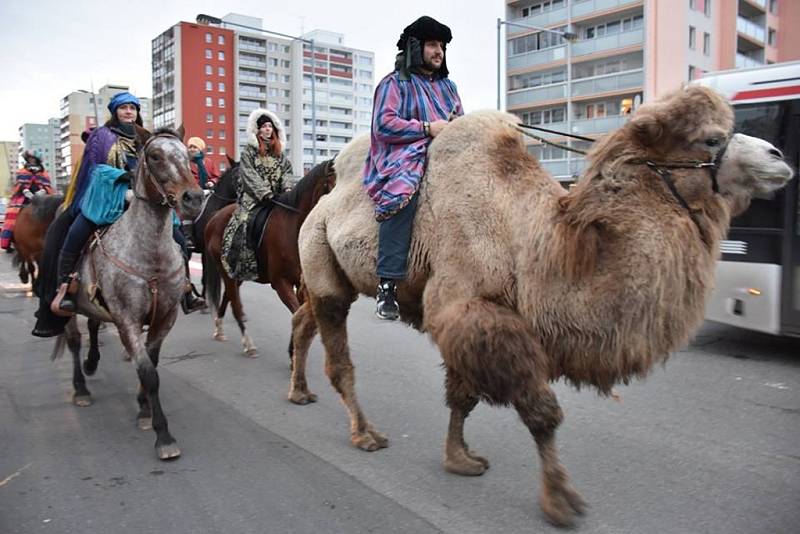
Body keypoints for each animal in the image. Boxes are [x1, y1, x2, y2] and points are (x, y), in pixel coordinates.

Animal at [205, 161, 336, 358]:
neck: (294, 228)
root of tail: (214, 218)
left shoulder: (301, 285)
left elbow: (299, 314)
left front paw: (293, 351)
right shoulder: (280, 283)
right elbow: (296, 313)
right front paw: (294, 353)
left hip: (236, 275)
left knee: (229, 296)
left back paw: (219, 328)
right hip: (226, 272)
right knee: (235, 305)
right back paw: (248, 344)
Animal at [288, 88, 792, 528]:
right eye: (710, 138)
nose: (779, 157)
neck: (539, 247)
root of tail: (323, 197)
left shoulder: (468, 317)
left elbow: (463, 395)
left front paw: (459, 458)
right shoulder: (468, 307)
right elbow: (541, 411)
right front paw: (559, 499)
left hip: (330, 272)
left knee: (303, 317)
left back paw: (299, 391)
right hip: (319, 254)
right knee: (339, 357)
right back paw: (364, 433)